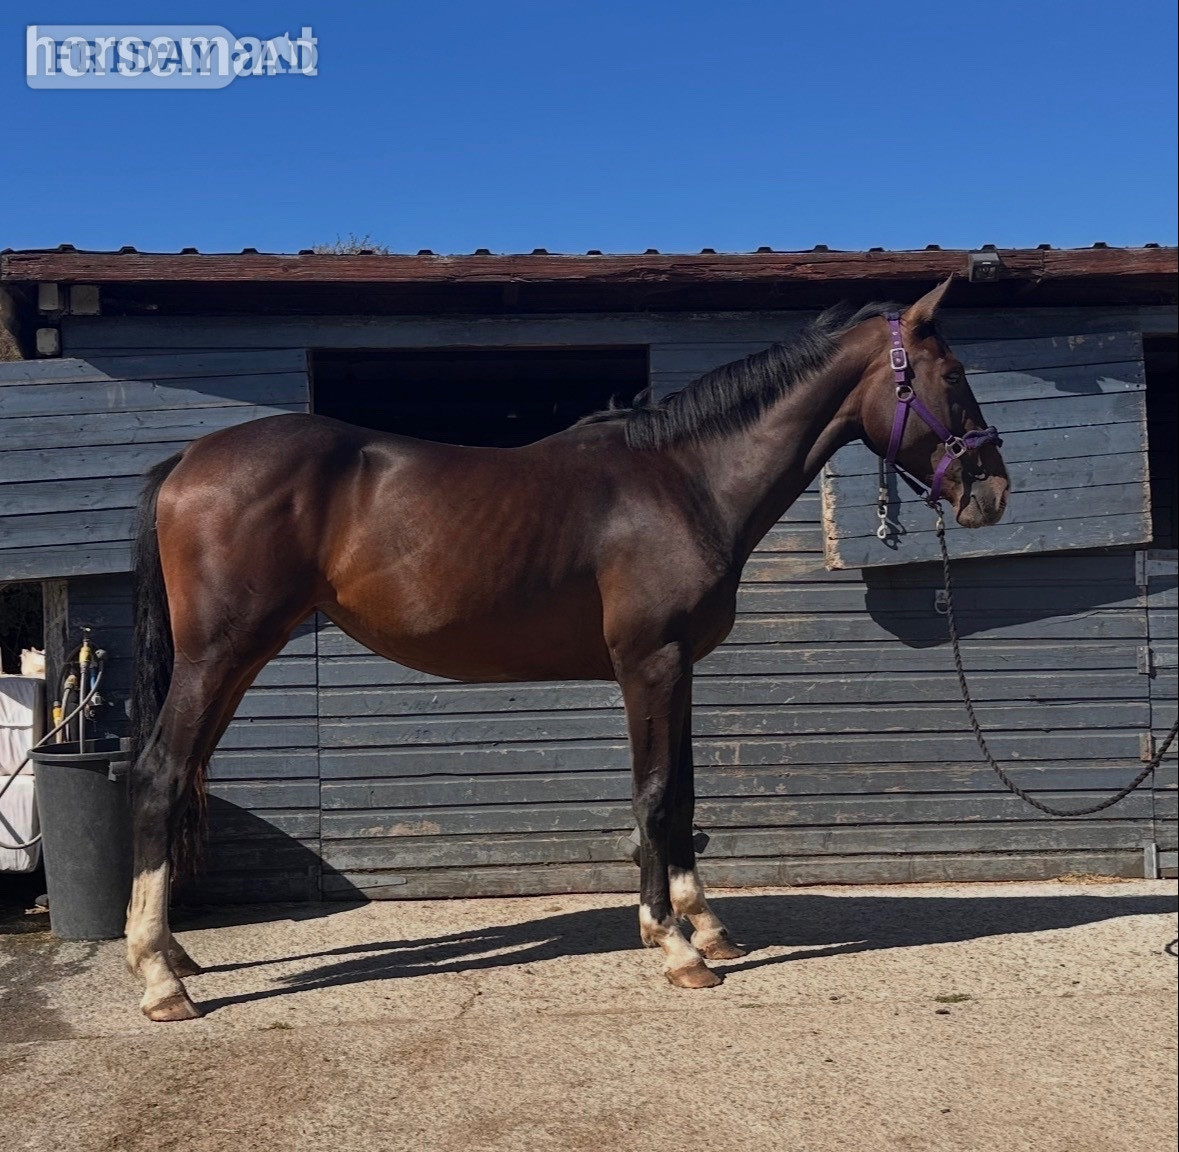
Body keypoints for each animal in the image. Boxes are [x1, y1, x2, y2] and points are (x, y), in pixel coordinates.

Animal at [125, 277, 1009, 1020]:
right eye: (953, 374)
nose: (992, 491)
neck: (683, 481)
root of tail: (187, 461)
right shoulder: (648, 664)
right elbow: (653, 796)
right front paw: (674, 949)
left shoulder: (680, 669)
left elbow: (684, 797)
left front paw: (706, 927)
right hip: (218, 658)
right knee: (160, 775)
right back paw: (160, 980)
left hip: (236, 662)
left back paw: (173, 952)